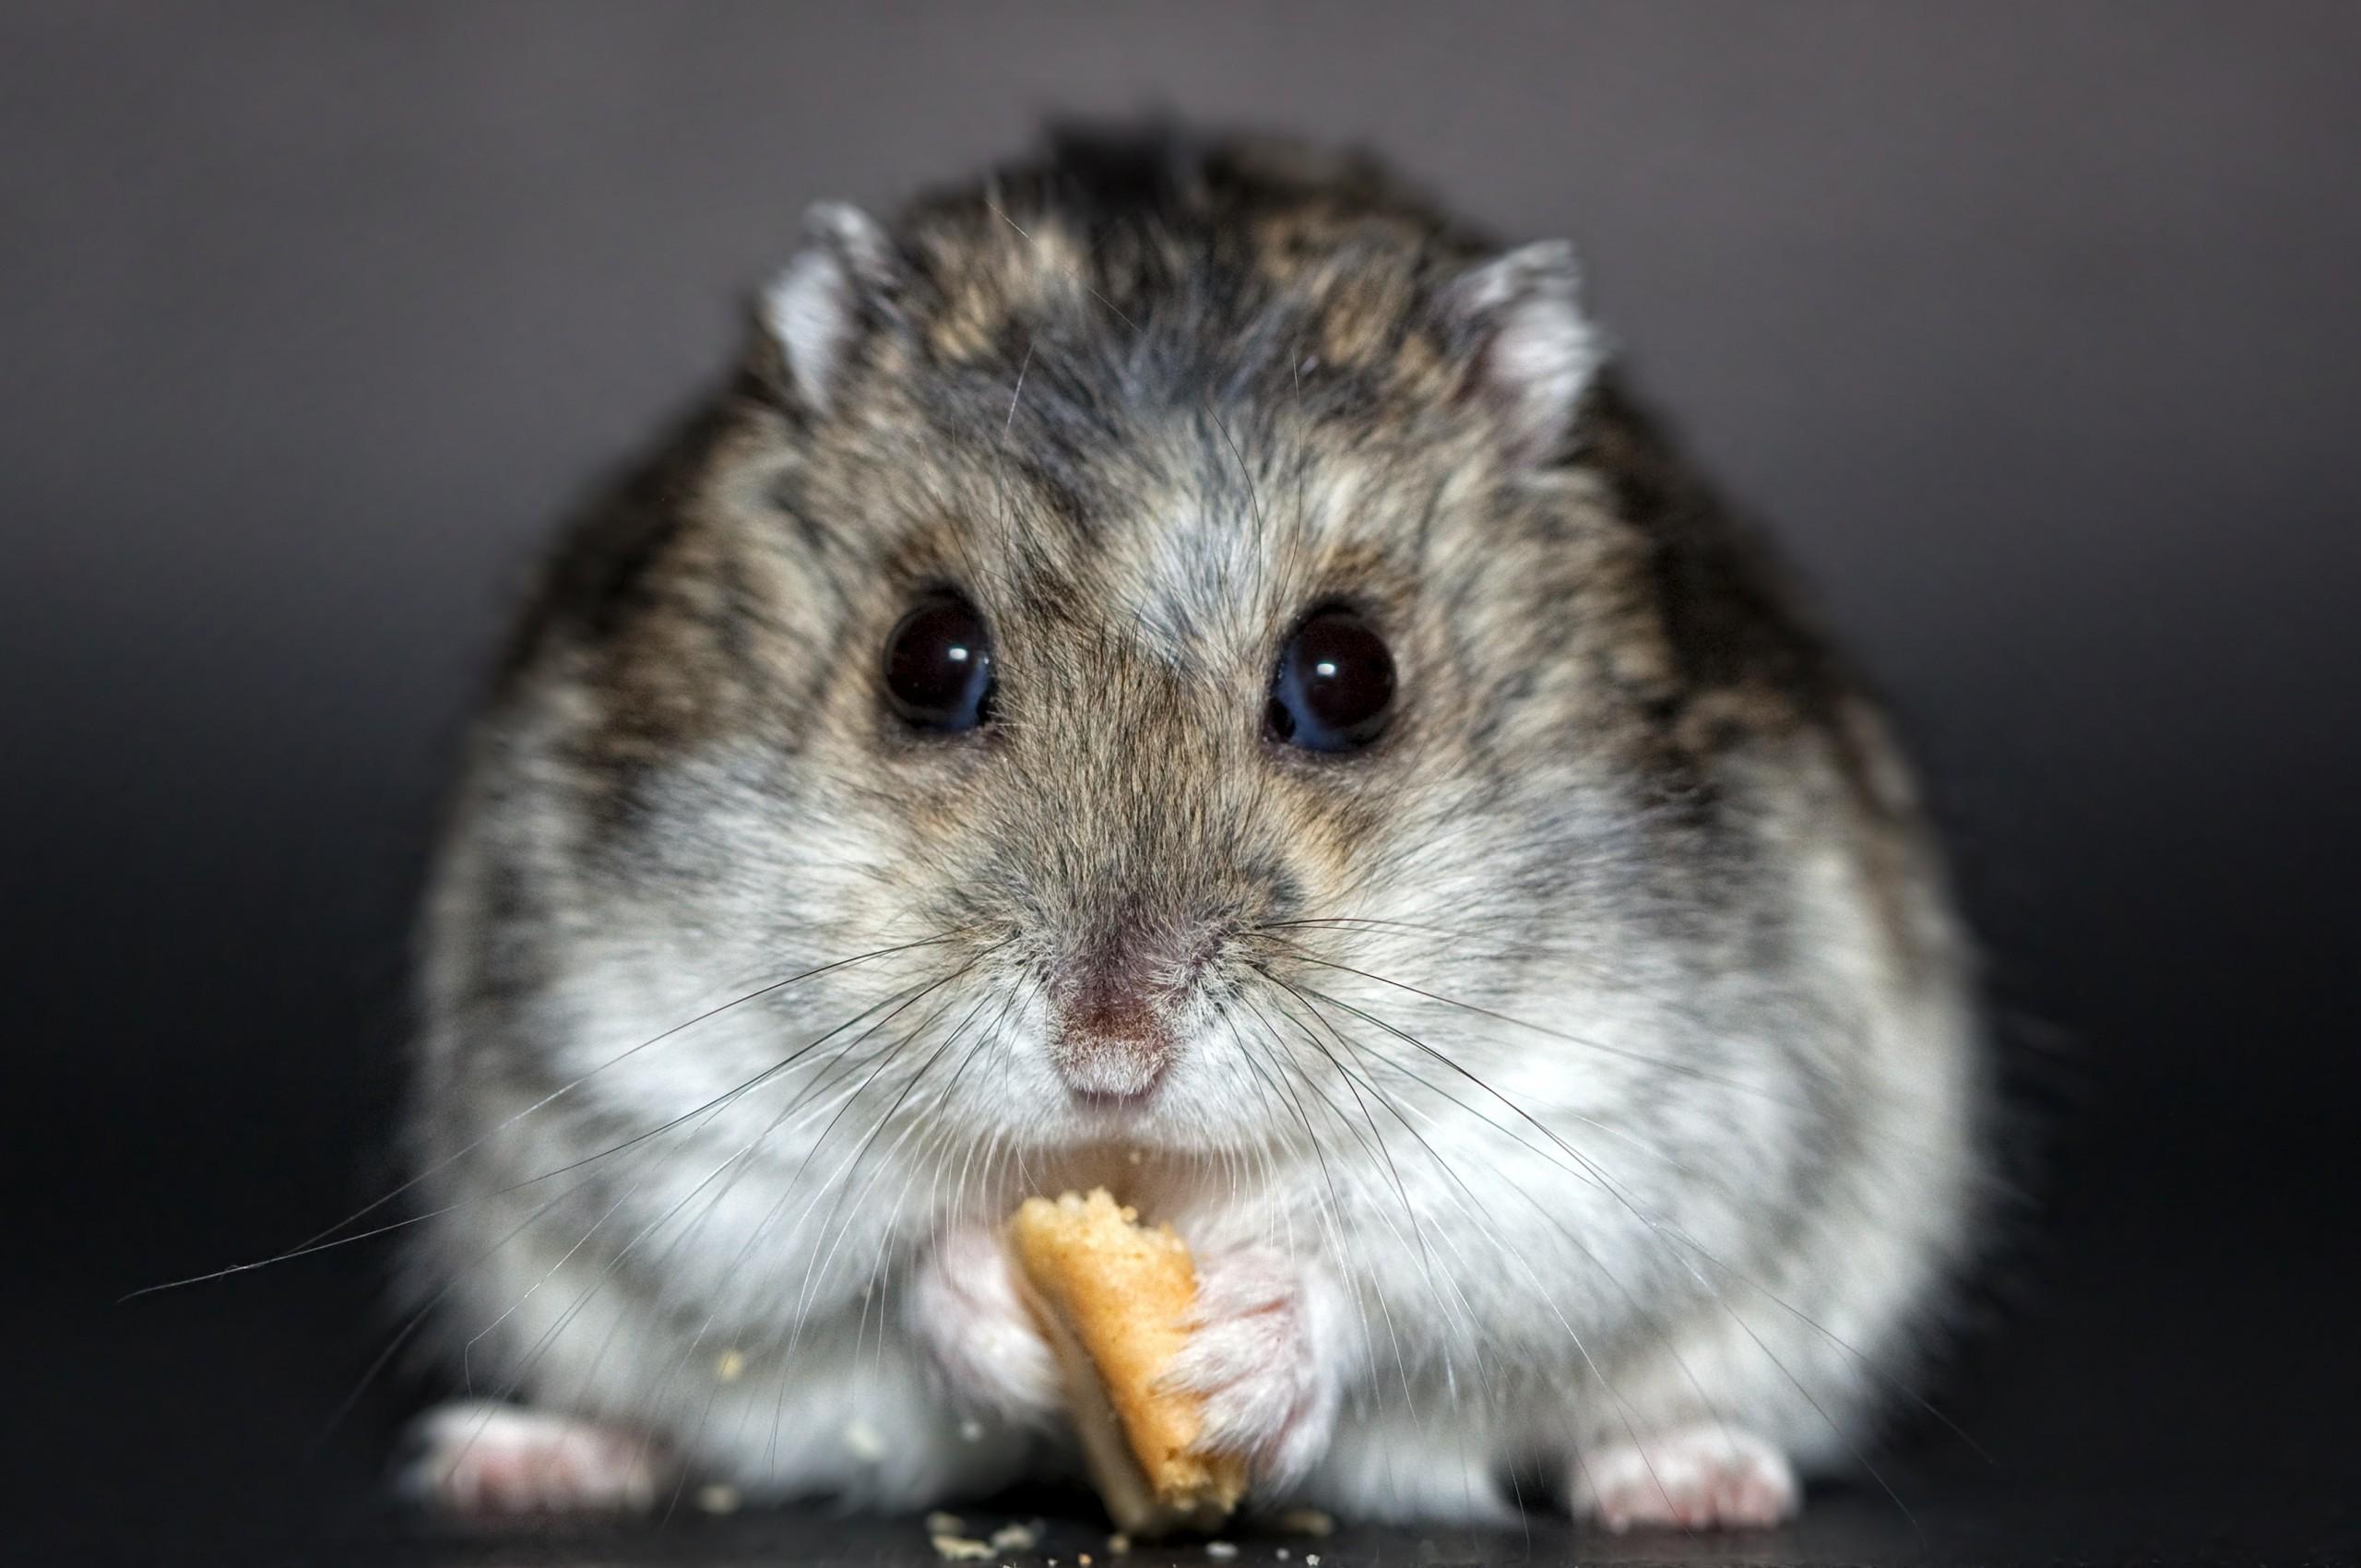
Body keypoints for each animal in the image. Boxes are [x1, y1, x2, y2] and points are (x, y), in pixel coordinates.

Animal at [399, 127, 1984, 1530]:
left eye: (1348, 678)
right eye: (926, 660)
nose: (1112, 1060)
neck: (1146, 1170)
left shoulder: (1617, 1113)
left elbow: (1412, 1261)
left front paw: (1237, 1352)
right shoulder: (655, 1078)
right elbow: (863, 1254)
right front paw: (995, 1299)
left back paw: (1690, 1482)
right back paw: (518, 1459)